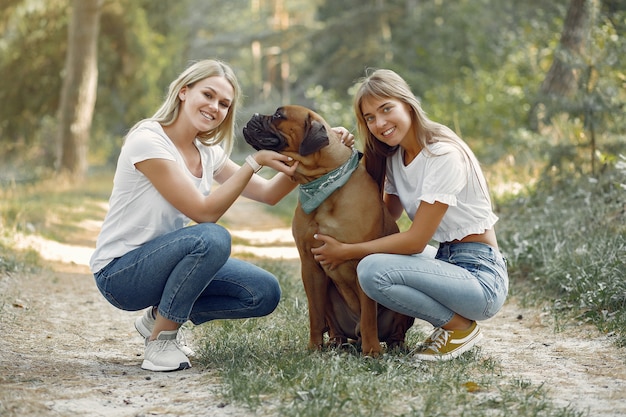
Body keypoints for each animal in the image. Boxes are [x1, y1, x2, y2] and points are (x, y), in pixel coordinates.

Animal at [241, 104, 412, 354]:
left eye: (279, 115)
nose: (253, 116)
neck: (323, 183)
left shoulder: (361, 260)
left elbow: (369, 316)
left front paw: (372, 351)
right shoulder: (310, 266)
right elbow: (315, 314)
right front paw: (314, 347)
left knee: (393, 329)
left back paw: (394, 345)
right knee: (332, 324)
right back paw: (334, 342)